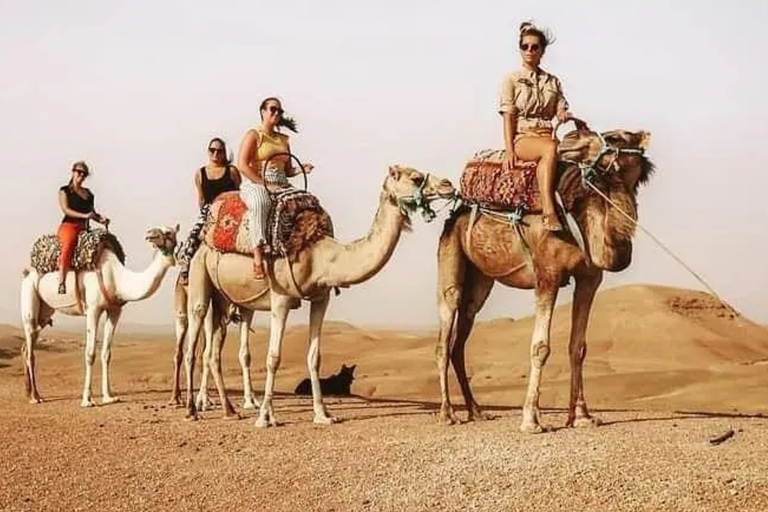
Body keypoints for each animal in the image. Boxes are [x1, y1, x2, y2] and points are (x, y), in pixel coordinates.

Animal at [20, 226, 178, 406]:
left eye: (170, 232)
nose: (150, 234)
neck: (117, 278)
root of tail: (27, 272)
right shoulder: (93, 309)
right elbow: (90, 354)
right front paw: (87, 400)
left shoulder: (114, 311)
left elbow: (106, 354)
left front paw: (109, 396)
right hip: (29, 300)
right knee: (30, 349)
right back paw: (35, 397)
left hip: (44, 312)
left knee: (27, 346)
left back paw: (29, 392)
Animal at [184, 165, 456, 428]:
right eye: (415, 177)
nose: (448, 184)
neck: (319, 255)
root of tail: (201, 234)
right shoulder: (280, 299)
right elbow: (273, 357)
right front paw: (265, 417)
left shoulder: (320, 298)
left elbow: (314, 357)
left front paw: (322, 414)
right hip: (200, 279)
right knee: (194, 341)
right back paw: (192, 410)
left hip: (229, 299)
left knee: (213, 352)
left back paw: (229, 410)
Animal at [438, 128, 656, 432]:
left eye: (615, 138)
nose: (571, 139)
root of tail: (455, 214)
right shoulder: (547, 275)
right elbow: (540, 347)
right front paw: (531, 420)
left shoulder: (590, 278)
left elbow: (578, 347)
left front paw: (582, 416)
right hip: (450, 256)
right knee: (445, 333)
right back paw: (448, 413)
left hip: (481, 280)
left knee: (461, 334)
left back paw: (477, 411)